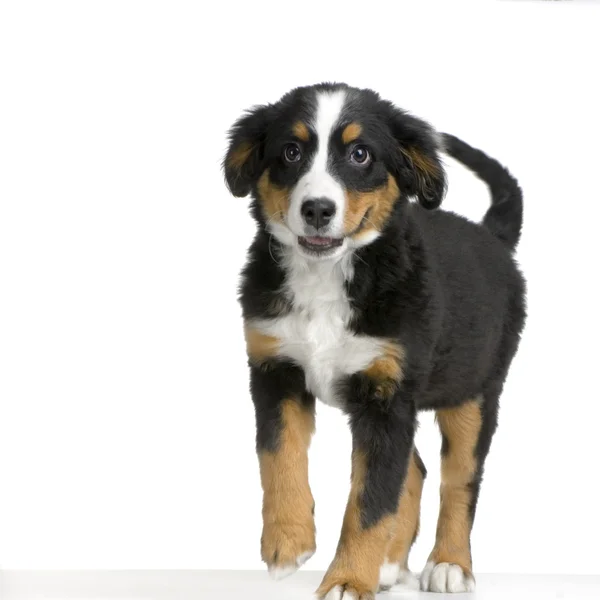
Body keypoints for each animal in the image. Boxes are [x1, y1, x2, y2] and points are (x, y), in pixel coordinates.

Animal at [221, 82, 524, 596]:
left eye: (360, 154)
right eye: (291, 151)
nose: (317, 209)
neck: (327, 279)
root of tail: (492, 237)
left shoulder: (387, 394)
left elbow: (370, 499)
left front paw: (347, 580)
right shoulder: (274, 369)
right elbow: (278, 457)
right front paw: (287, 543)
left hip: (475, 390)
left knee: (459, 480)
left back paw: (449, 564)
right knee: (417, 468)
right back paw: (389, 564)